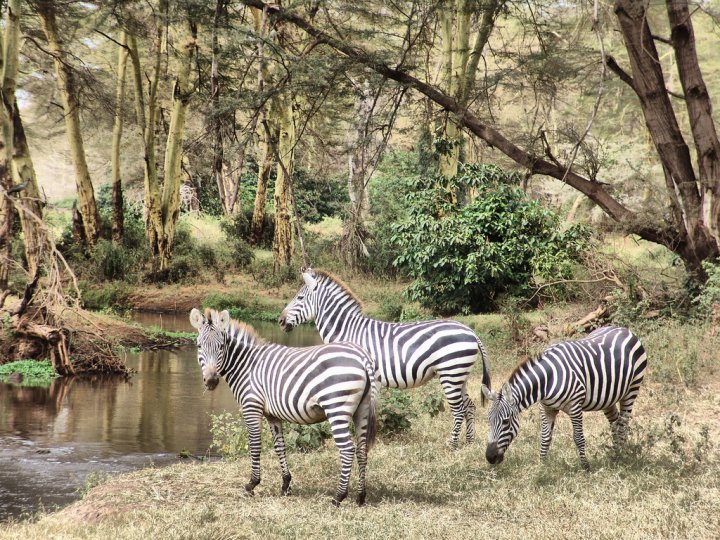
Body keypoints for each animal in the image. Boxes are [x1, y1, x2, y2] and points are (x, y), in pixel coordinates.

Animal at [191, 308, 382, 506]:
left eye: (221, 346)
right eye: (199, 346)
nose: (211, 381)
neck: (247, 366)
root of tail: (362, 357)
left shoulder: (251, 407)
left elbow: (255, 445)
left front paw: (252, 484)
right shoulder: (272, 415)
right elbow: (279, 446)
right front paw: (285, 485)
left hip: (337, 408)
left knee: (347, 449)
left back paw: (338, 497)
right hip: (362, 409)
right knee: (361, 450)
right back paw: (360, 496)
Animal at [278, 266, 492, 448]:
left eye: (299, 298)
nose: (280, 321)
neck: (348, 330)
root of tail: (471, 332)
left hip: (451, 372)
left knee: (458, 410)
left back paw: (452, 444)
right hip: (459, 374)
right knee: (469, 406)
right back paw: (469, 442)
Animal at [484, 324, 648, 468]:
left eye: (506, 422)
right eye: (488, 420)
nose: (490, 458)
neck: (547, 380)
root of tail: (624, 329)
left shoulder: (575, 405)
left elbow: (579, 438)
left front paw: (585, 467)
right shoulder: (546, 408)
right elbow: (545, 437)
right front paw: (542, 467)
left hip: (632, 389)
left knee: (623, 423)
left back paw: (621, 455)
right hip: (608, 398)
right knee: (615, 422)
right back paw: (615, 453)